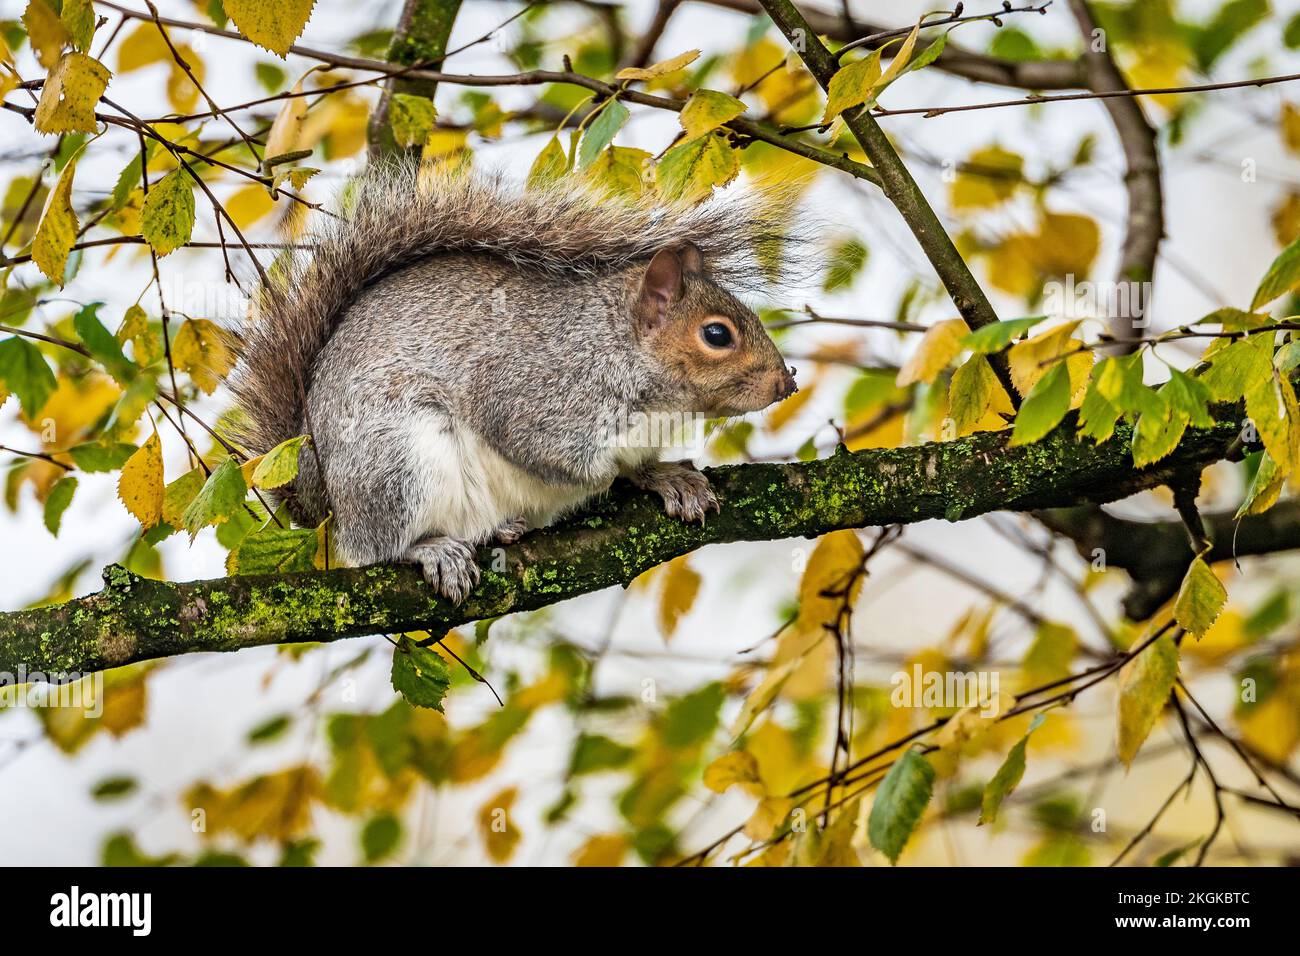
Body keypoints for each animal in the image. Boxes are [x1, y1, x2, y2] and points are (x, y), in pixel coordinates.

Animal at [231, 164, 798, 603]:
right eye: (717, 334)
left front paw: (664, 477)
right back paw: (433, 549)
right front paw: (628, 472)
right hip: (395, 462)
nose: (785, 383)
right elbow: (551, 451)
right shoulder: (537, 391)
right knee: (375, 547)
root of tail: (319, 497)